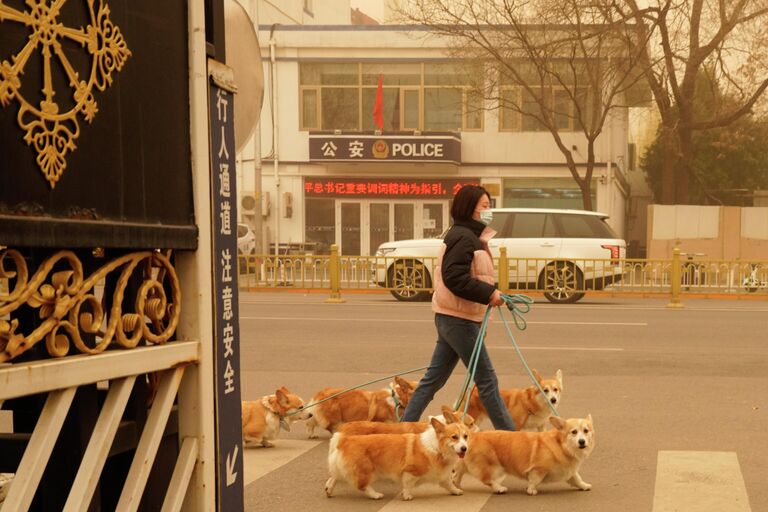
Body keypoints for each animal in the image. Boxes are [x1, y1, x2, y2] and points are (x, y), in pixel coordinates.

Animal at [322, 414, 468, 498]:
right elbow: (407, 484)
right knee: (362, 486)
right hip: (366, 470)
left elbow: (449, 483)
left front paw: (456, 491)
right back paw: (375, 495)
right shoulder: (410, 472)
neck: (437, 447)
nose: (464, 448)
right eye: (454, 437)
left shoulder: (442, 475)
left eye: (465, 436)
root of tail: (344, 439)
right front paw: (407, 496)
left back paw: (329, 490)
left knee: (334, 475)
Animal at [456, 416, 592, 496]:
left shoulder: (569, 470)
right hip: (492, 467)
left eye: (586, 431)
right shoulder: (538, 469)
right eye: (574, 432)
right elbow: (535, 480)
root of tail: (472, 435)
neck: (562, 446)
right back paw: (499, 488)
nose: (582, 442)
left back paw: (456, 487)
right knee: (487, 480)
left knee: (457, 475)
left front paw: (584, 486)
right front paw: (531, 490)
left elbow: (577, 479)